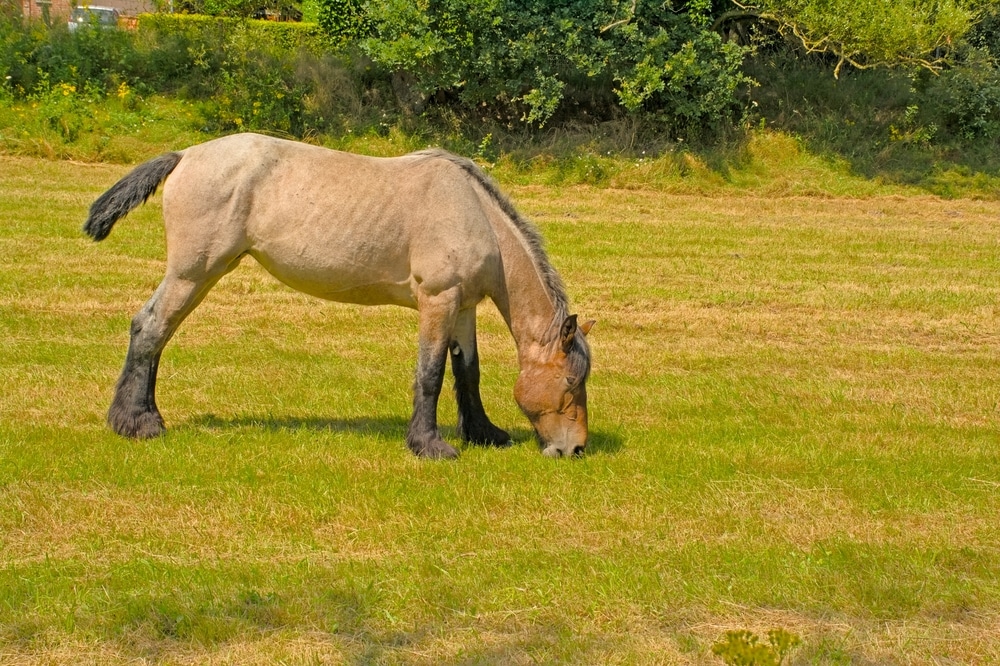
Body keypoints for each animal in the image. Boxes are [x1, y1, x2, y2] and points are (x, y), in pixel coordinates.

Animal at [86, 133, 592, 460]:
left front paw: (484, 433)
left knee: (156, 331)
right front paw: (429, 445)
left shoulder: (463, 307)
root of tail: (186, 154)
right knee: (150, 328)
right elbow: (430, 373)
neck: (474, 212)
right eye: (571, 382)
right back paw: (139, 423)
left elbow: (468, 372)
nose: (575, 448)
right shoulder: (438, 301)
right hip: (193, 273)